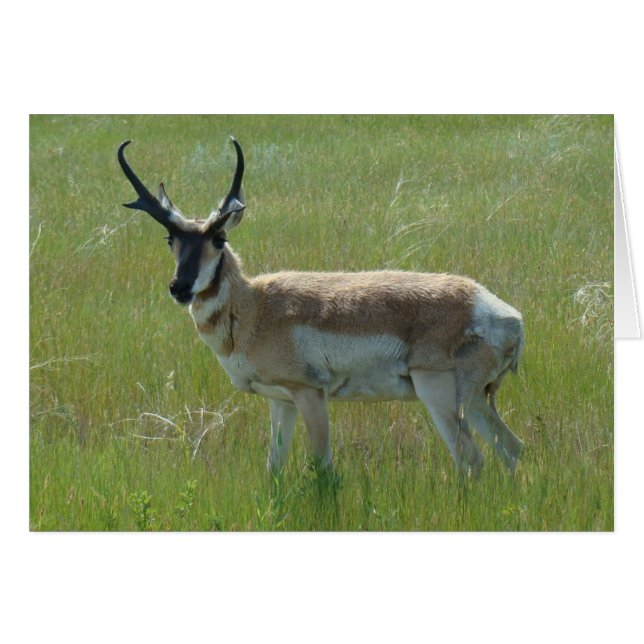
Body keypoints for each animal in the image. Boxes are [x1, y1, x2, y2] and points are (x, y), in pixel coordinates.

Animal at [117, 137, 525, 477]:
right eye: (170, 238)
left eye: (219, 238)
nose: (179, 287)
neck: (255, 307)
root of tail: (507, 316)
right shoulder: (280, 401)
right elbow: (274, 468)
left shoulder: (310, 394)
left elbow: (323, 467)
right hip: (476, 400)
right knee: (512, 448)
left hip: (438, 394)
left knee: (470, 459)